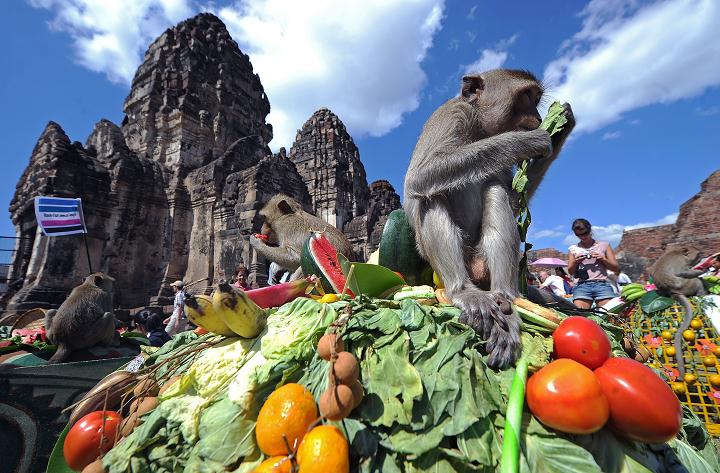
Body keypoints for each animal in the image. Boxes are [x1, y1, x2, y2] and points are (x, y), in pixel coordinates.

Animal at [404, 69, 574, 369]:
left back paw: (506, 297)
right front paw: (526, 141)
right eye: (526, 97)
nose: (538, 119)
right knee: (430, 196)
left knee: (494, 188)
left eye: (536, 99)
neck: (480, 127)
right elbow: (420, 177)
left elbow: (513, 198)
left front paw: (561, 128)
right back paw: (463, 292)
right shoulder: (451, 115)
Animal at [648, 245, 706, 377]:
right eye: (698, 254)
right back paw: (702, 292)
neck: (679, 252)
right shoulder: (682, 264)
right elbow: (683, 273)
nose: (701, 256)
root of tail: (673, 293)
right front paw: (703, 270)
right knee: (696, 280)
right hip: (687, 285)